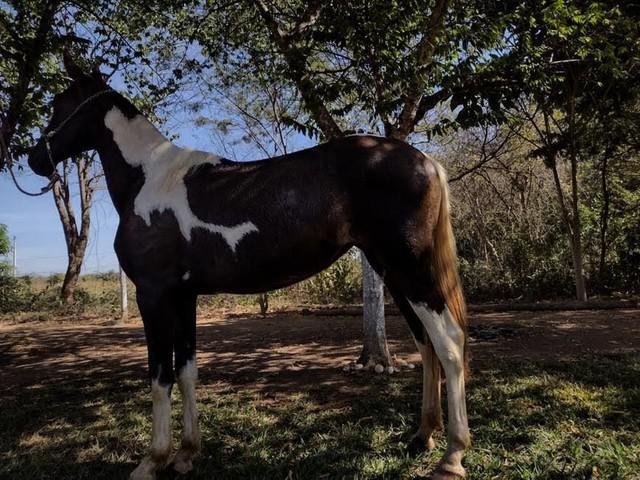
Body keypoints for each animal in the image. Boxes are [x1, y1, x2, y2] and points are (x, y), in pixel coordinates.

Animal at [28, 57, 470, 480]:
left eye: (59, 104)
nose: (33, 160)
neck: (150, 179)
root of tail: (425, 160)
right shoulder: (184, 296)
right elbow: (187, 371)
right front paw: (186, 454)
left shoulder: (152, 294)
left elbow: (160, 377)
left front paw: (152, 461)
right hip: (393, 271)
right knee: (426, 344)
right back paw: (422, 436)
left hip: (411, 269)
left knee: (449, 342)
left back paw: (452, 456)